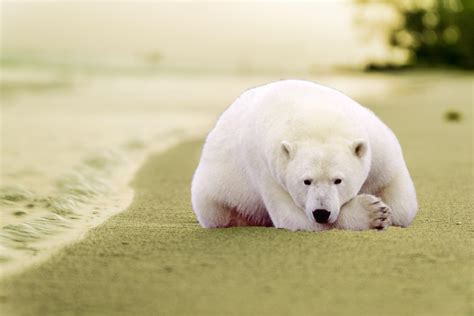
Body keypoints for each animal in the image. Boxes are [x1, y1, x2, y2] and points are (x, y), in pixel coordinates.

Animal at [191, 80, 416, 231]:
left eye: (338, 180)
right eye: (306, 181)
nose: (321, 213)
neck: (315, 115)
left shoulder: (377, 144)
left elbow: (400, 196)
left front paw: (387, 211)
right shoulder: (267, 169)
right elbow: (292, 217)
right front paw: (374, 213)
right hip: (215, 195)